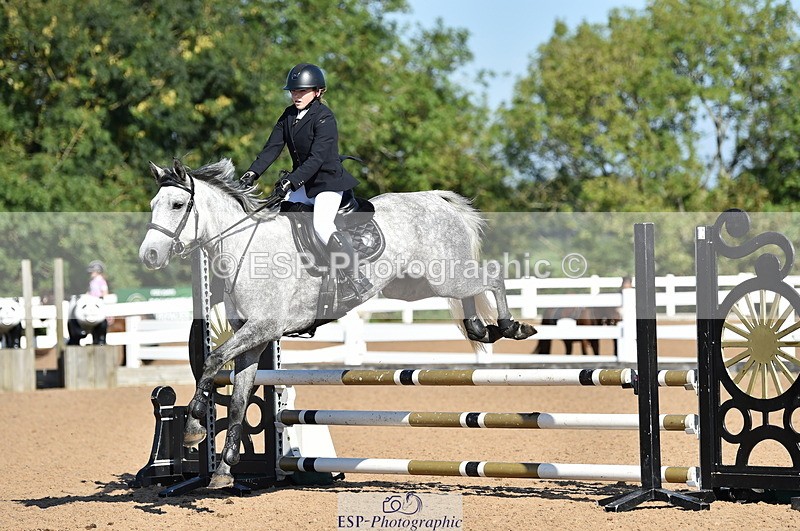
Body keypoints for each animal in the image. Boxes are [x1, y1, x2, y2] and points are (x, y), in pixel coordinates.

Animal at [138, 158, 536, 489]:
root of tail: (436, 198)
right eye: (153, 205)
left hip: (444, 277)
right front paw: (223, 470)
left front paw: (193, 428)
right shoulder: (253, 339)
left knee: (493, 275)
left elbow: (211, 360)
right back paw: (481, 329)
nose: (149, 256)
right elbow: (237, 399)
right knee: (473, 289)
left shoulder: (263, 328)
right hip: (419, 285)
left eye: (177, 205)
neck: (244, 249)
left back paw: (511, 327)